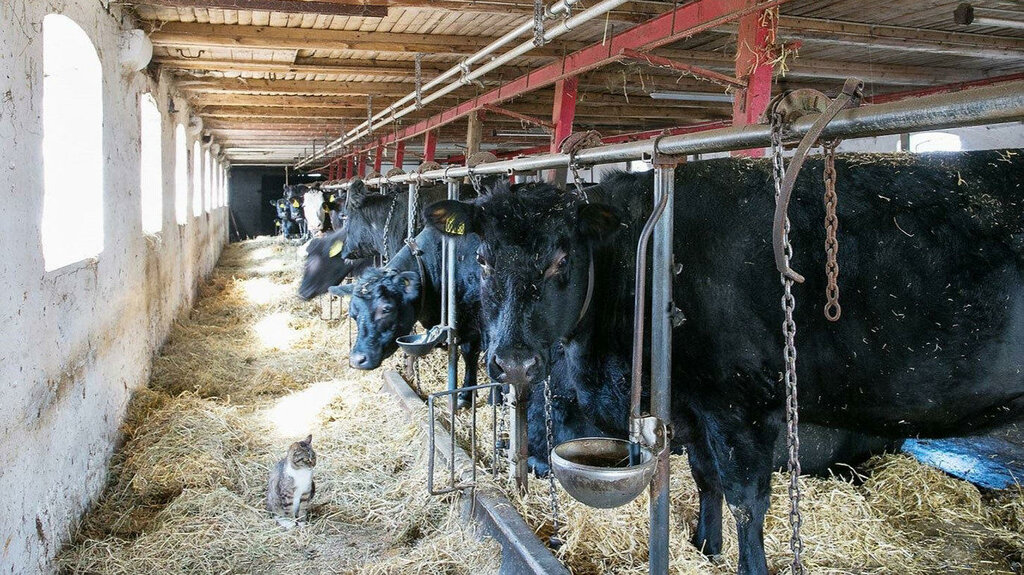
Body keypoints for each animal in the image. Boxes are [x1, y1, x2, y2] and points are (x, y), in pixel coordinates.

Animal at [424, 150, 1024, 575]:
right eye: (481, 258)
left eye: (561, 259)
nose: (513, 362)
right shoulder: (690, 408)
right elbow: (705, 476)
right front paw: (704, 546)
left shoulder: (742, 408)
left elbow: (747, 501)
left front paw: (744, 564)